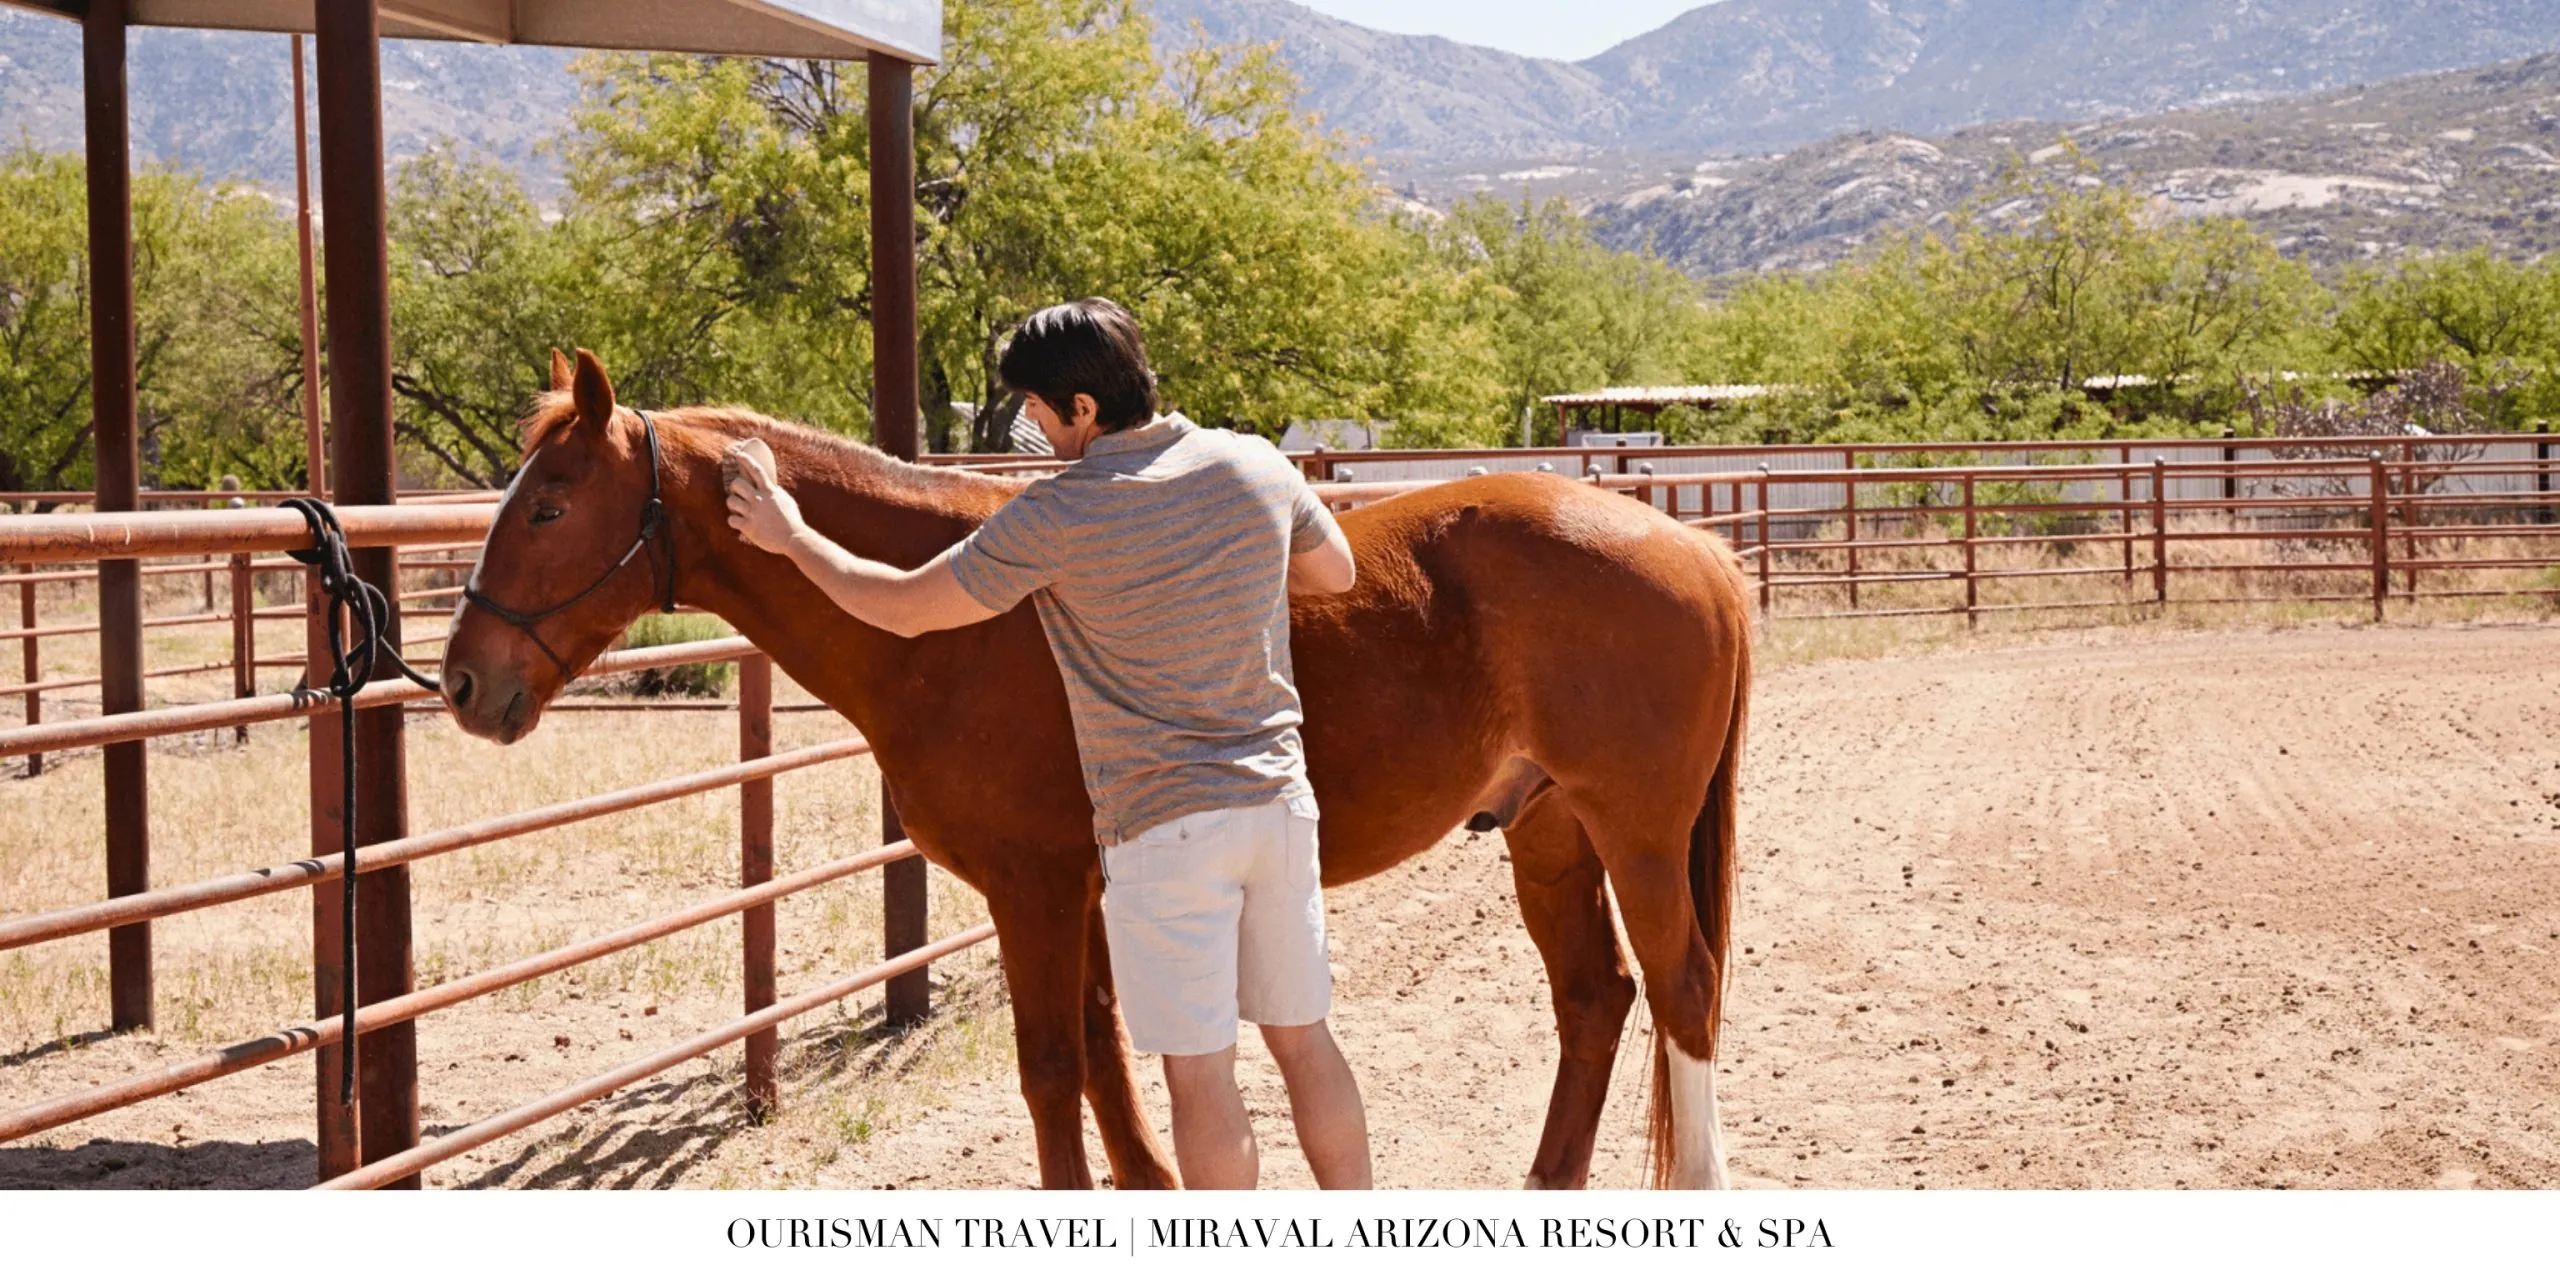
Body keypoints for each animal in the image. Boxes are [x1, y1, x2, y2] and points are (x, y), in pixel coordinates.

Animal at [439, 350, 1753, 1190]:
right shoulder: (1079, 887)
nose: (459, 681)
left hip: (1635, 835)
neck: (956, 625)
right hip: (1547, 831)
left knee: (1682, 989)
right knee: (1595, 1000)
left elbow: (1053, 1065)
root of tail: (1692, 545)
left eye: (550, 504)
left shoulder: (1033, 887)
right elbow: (1107, 1049)